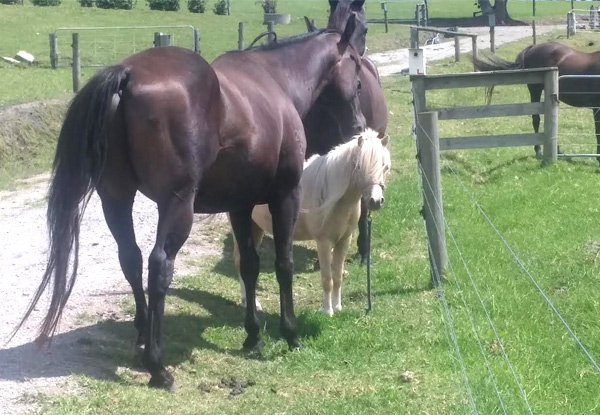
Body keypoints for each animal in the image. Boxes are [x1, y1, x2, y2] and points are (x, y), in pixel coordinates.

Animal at [14, 0, 368, 392]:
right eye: (356, 74)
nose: (358, 126)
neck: (277, 81)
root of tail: (128, 74)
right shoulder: (284, 196)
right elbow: (282, 264)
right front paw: (290, 333)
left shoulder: (240, 206)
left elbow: (249, 265)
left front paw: (253, 335)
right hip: (178, 205)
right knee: (158, 266)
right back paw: (157, 366)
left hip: (116, 200)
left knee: (131, 259)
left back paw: (142, 339)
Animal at [232, 130, 392, 316]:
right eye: (359, 167)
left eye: (385, 167)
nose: (375, 201)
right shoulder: (324, 242)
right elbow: (327, 279)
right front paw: (327, 311)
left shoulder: (344, 241)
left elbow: (337, 276)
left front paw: (338, 307)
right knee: (240, 262)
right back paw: (249, 302)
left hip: (256, 229)